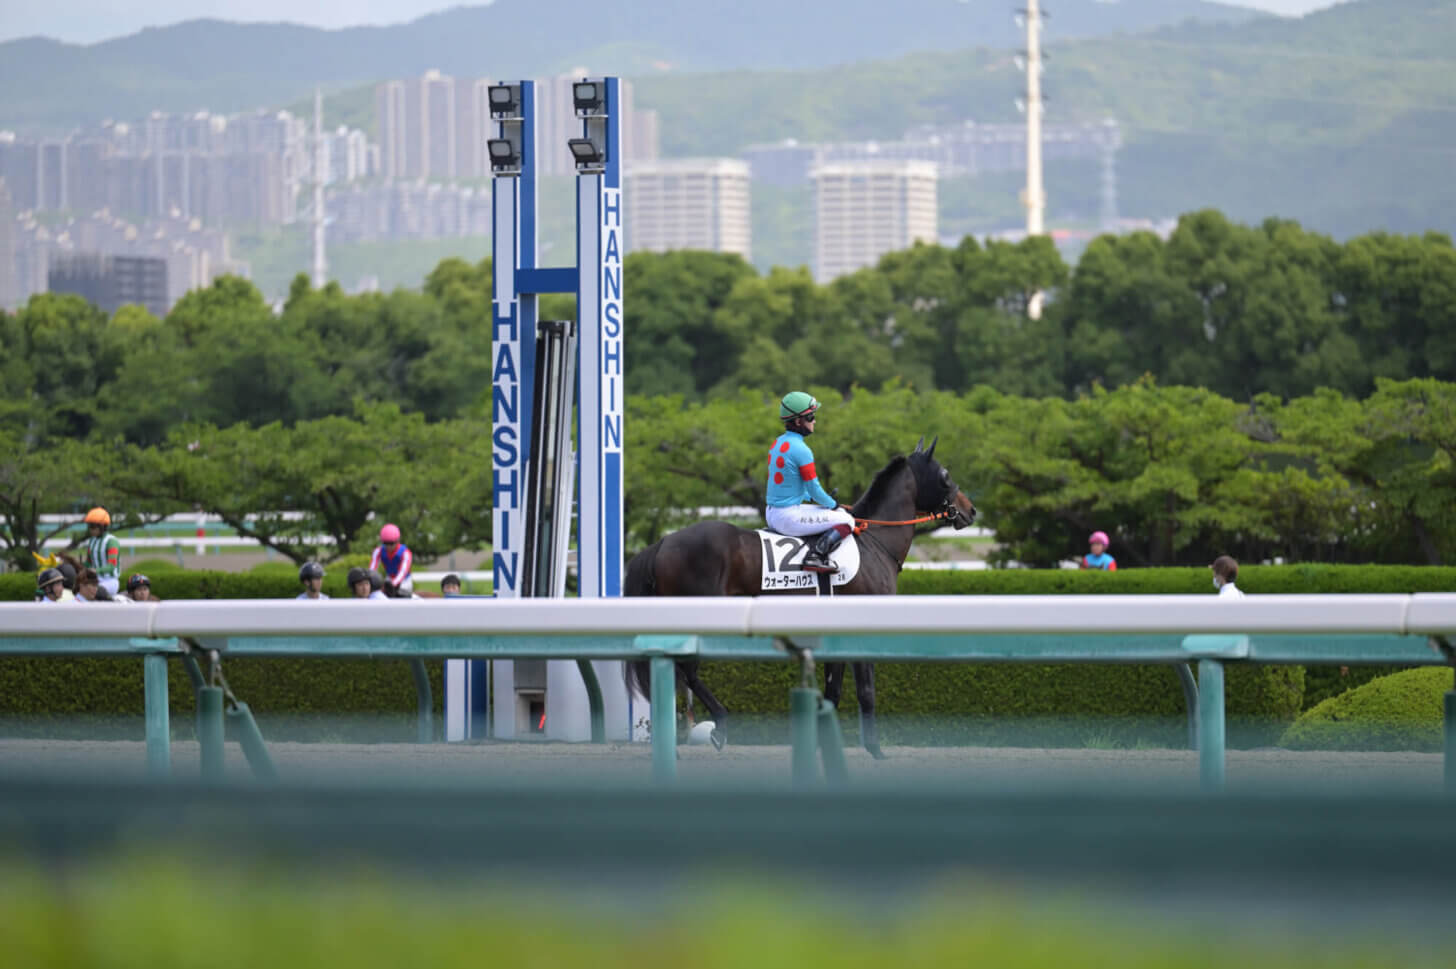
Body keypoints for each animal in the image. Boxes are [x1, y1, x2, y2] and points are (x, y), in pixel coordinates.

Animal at [626, 436, 978, 756]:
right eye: (945, 475)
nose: (970, 510)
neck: (874, 544)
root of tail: (664, 541)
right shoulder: (859, 631)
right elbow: (866, 691)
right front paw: (875, 749)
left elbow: (833, 692)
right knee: (688, 671)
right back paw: (720, 724)